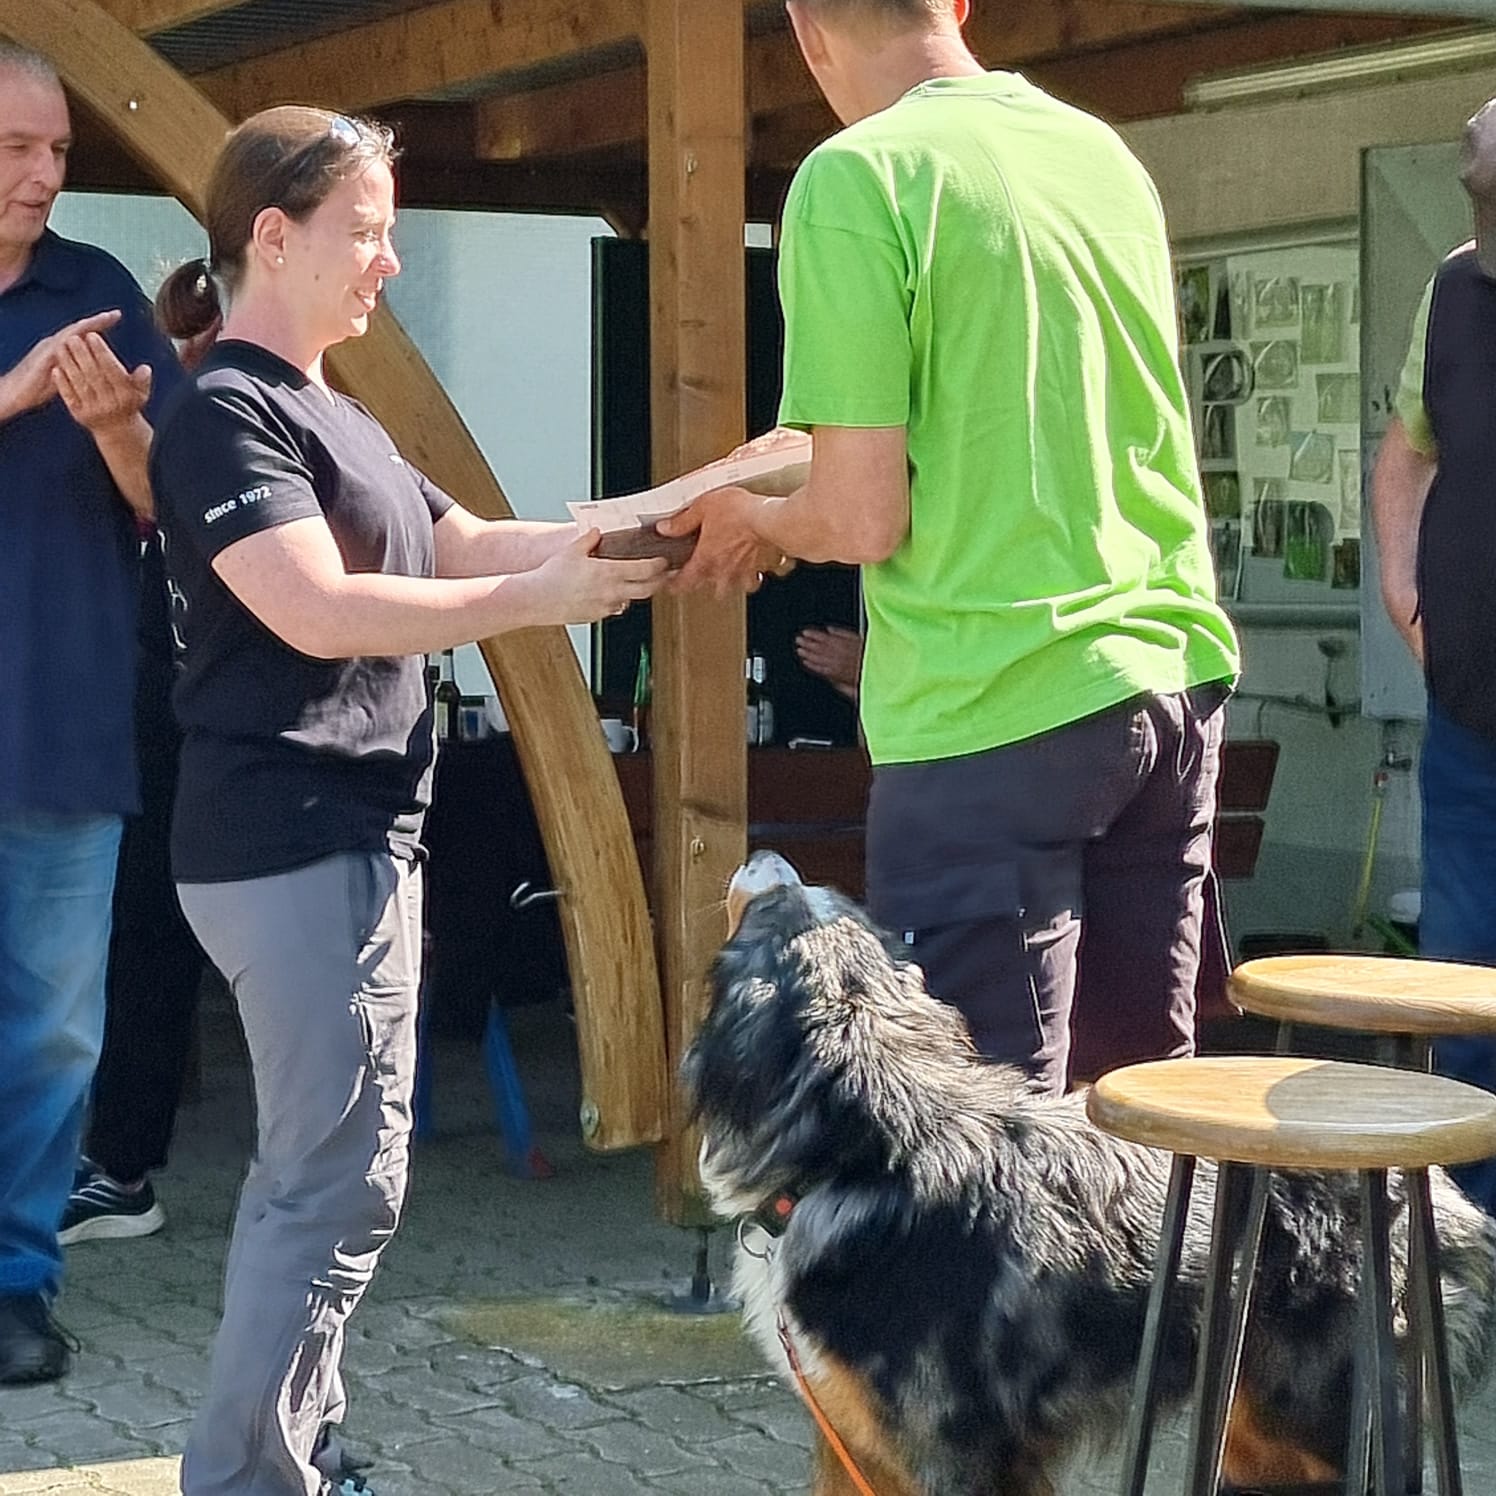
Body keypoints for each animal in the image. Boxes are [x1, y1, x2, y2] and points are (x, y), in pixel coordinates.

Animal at [682, 852, 1496, 1496]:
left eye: (775, 909)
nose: (766, 854)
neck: (870, 1154)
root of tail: (1438, 1187)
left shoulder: (951, 1451)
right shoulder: (854, 1442)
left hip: (1330, 1413)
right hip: (1261, 1427)